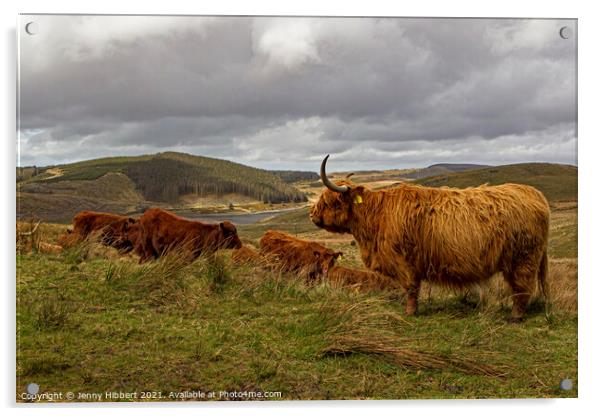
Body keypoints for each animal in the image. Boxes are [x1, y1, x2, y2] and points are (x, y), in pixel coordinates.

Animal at [310, 154, 548, 320]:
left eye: (330, 201)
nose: (312, 214)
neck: (376, 215)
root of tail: (534, 193)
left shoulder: (404, 261)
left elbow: (411, 288)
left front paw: (410, 312)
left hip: (523, 259)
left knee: (522, 288)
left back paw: (515, 317)